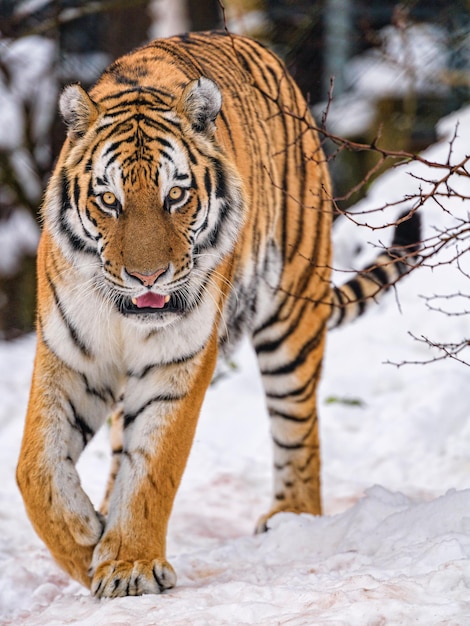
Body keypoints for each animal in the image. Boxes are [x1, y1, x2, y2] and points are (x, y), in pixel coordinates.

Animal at [15, 30, 418, 596]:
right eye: (109, 200)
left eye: (175, 194)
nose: (148, 278)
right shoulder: (68, 355)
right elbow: (35, 467)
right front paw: (87, 542)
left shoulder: (177, 363)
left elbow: (154, 466)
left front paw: (129, 564)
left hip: (292, 317)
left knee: (299, 426)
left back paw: (291, 517)